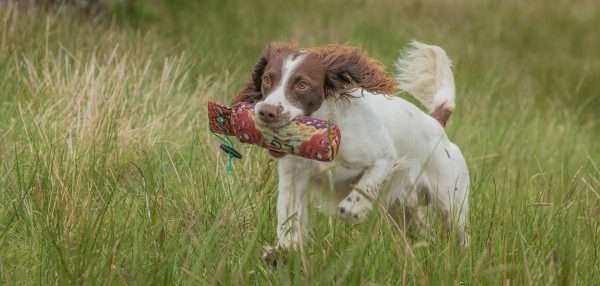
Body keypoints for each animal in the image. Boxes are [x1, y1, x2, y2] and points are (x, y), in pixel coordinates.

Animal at [232, 40, 472, 260]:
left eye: (302, 85)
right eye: (267, 79)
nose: (266, 111)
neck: (329, 125)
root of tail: (436, 124)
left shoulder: (384, 158)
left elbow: (364, 187)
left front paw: (353, 210)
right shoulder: (293, 178)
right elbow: (288, 222)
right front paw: (281, 252)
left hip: (450, 202)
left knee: (460, 233)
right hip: (404, 211)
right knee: (424, 233)